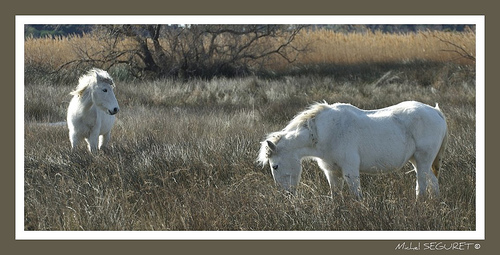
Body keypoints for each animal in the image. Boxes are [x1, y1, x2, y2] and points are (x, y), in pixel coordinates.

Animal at [260, 101, 448, 199]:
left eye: (275, 166)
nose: (286, 195)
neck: (326, 132)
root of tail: (436, 111)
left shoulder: (350, 171)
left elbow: (356, 195)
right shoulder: (332, 172)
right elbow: (336, 196)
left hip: (422, 161)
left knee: (422, 185)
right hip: (417, 162)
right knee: (433, 182)